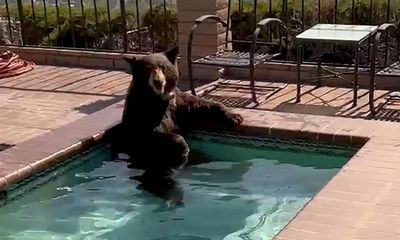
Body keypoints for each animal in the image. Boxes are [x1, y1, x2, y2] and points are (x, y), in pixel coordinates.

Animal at [109, 45, 245, 186]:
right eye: (147, 69)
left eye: (163, 67)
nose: (158, 82)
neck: (159, 98)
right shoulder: (141, 111)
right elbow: (148, 133)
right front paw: (182, 145)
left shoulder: (176, 102)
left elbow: (197, 105)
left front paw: (234, 117)